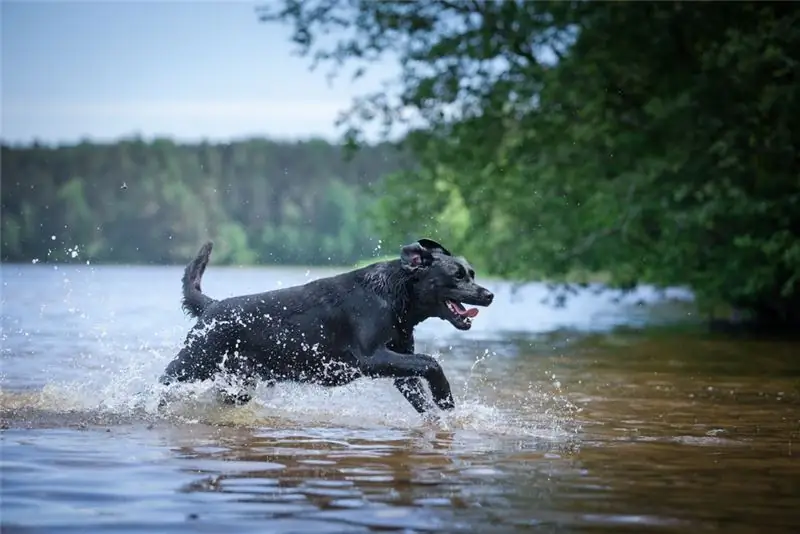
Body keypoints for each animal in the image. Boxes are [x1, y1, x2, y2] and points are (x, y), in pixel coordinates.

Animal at [157, 240, 494, 418]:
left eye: (473, 273)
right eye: (457, 275)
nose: (488, 294)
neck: (393, 295)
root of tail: (210, 307)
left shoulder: (400, 364)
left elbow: (419, 382)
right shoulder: (370, 358)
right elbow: (431, 362)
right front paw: (445, 396)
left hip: (237, 383)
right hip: (191, 363)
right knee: (162, 384)